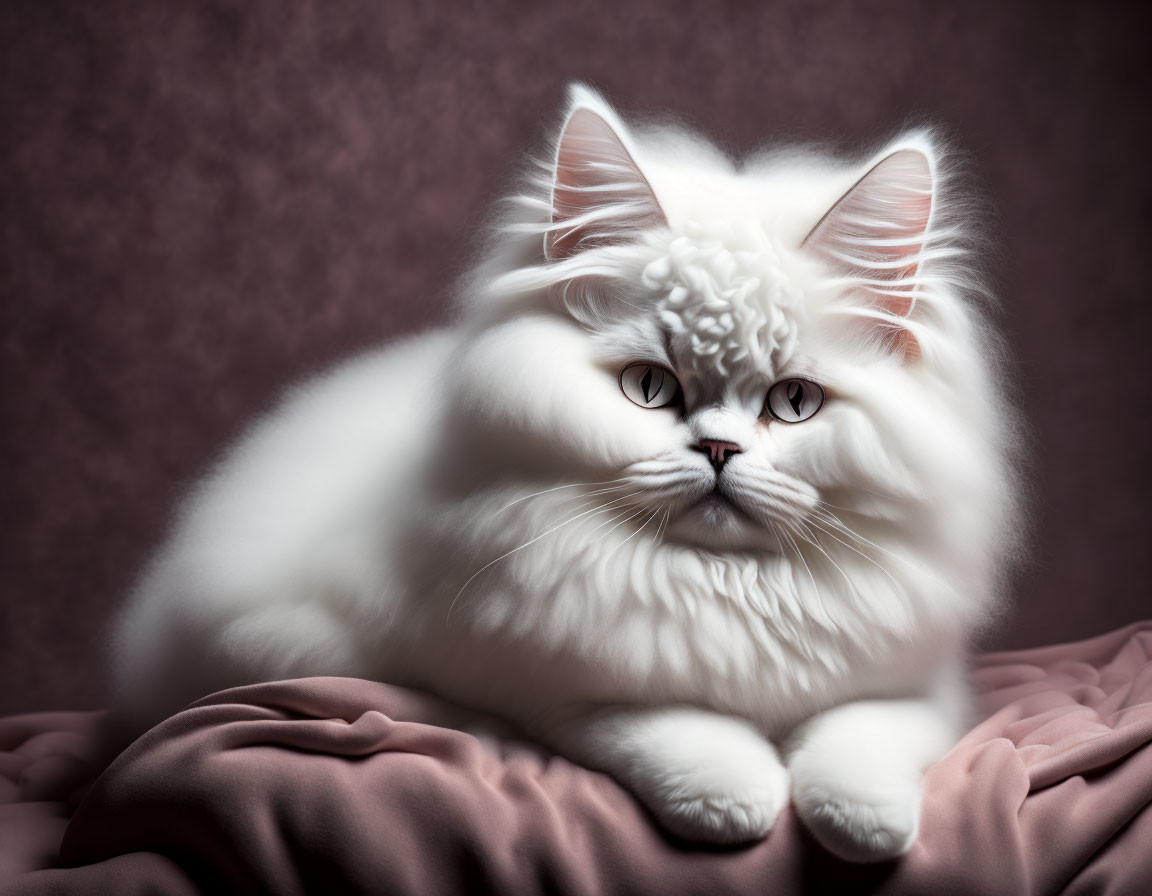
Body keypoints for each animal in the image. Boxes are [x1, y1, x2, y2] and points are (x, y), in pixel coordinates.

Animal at [112, 87, 1022, 861]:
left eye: (793, 402)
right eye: (650, 388)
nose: (718, 451)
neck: (720, 586)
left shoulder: (921, 683)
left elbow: (863, 736)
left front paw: (865, 826)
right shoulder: (521, 679)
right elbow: (658, 721)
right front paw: (735, 799)